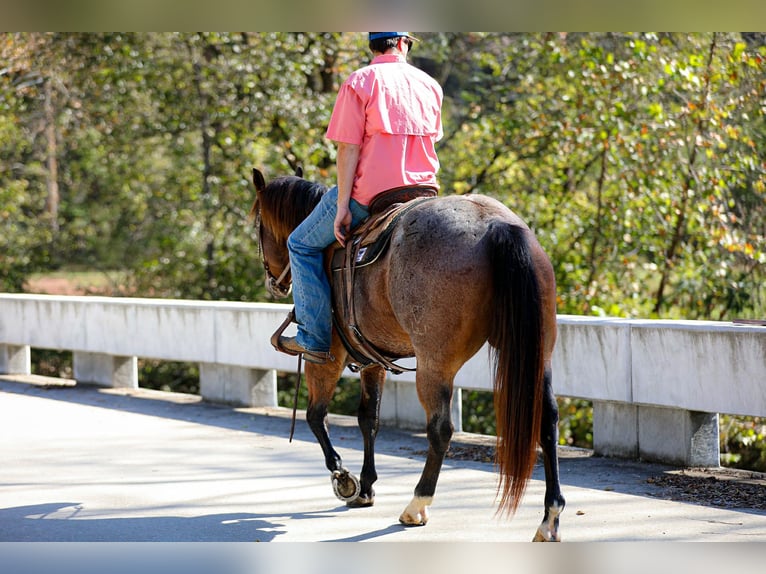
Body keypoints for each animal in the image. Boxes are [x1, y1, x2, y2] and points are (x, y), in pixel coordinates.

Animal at [249, 168, 565, 541]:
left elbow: (316, 416)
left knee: (440, 429)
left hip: (434, 363)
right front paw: (366, 486)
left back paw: (417, 504)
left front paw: (343, 478)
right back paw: (549, 517)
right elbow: (368, 419)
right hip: (539, 355)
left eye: (258, 226)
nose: (273, 282)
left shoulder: (328, 356)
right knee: (547, 419)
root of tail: (494, 225)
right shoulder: (373, 360)